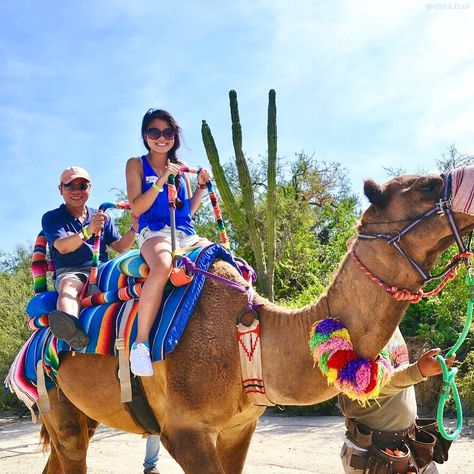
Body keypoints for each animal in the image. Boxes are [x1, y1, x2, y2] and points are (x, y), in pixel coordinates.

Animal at [39, 168, 474, 472]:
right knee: (70, 451)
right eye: (427, 186)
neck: (246, 333)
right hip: (55, 403)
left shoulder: (239, 427)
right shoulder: (183, 432)